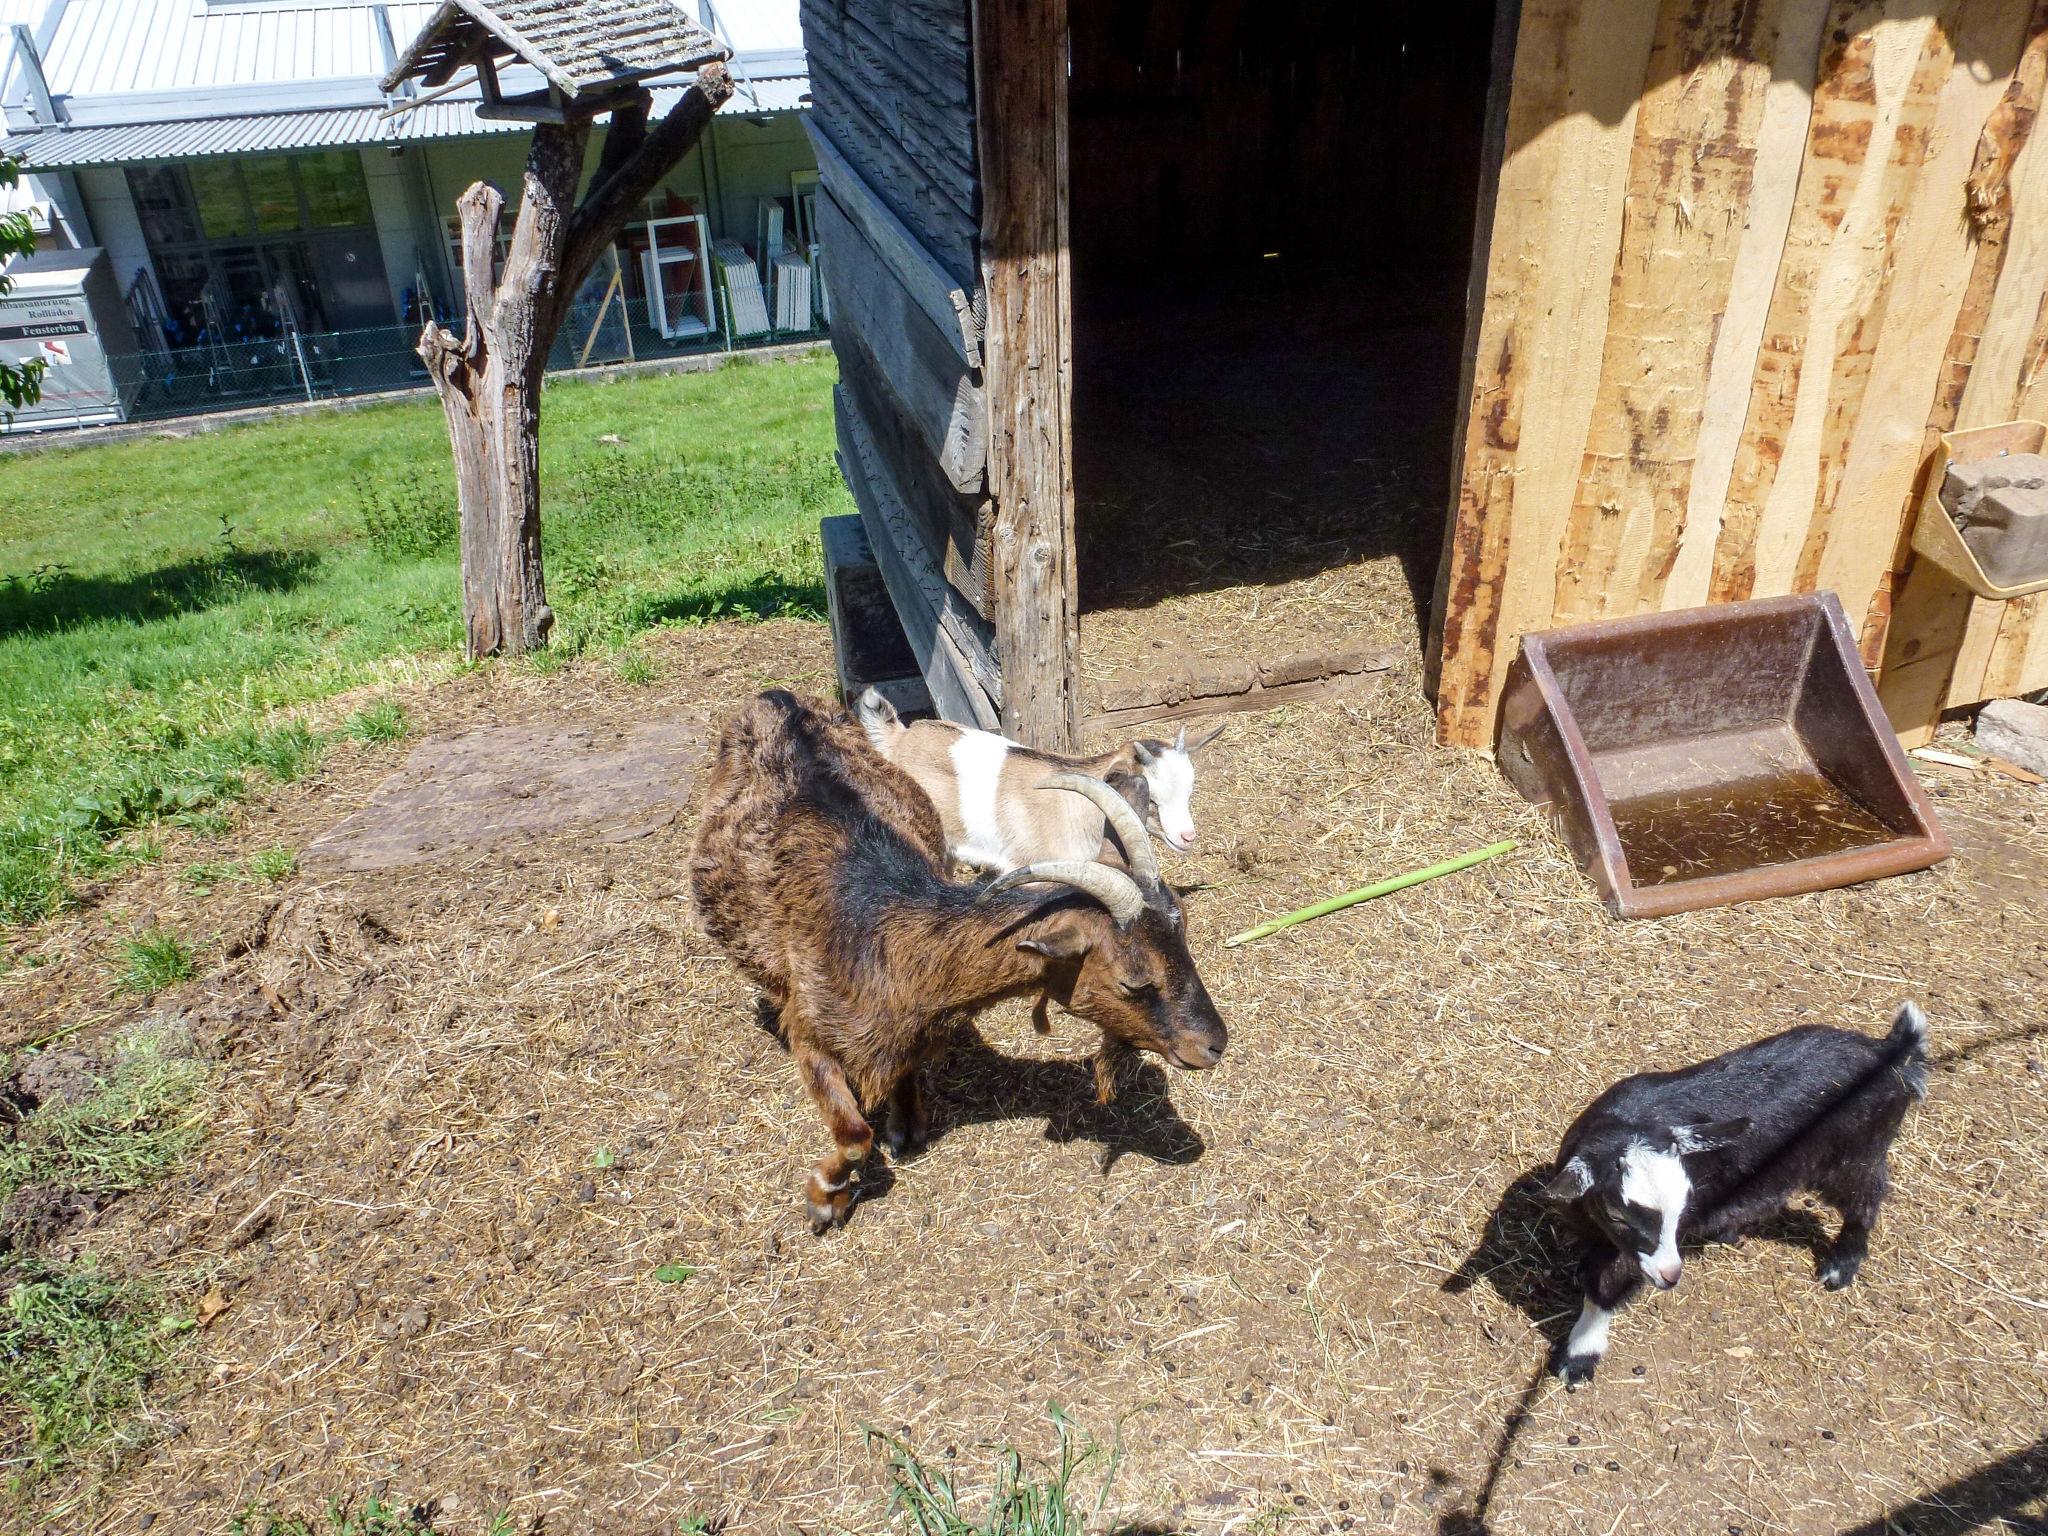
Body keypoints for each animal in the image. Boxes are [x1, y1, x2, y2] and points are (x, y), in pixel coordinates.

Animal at [688, 692, 1228, 1236]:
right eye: (1134, 982)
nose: (1214, 1045)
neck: (885, 933)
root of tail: (778, 699)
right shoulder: (811, 1033)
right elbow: (854, 1135)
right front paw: (824, 1198)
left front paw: (906, 1128)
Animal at [1540, 1003, 1925, 1392]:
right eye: (1618, 1215)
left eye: (1683, 1207)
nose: (1670, 1276)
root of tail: (1890, 1049)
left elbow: (1606, 1285)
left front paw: (1579, 1357)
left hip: (1857, 1153)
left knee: (1865, 1199)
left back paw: (1840, 1266)